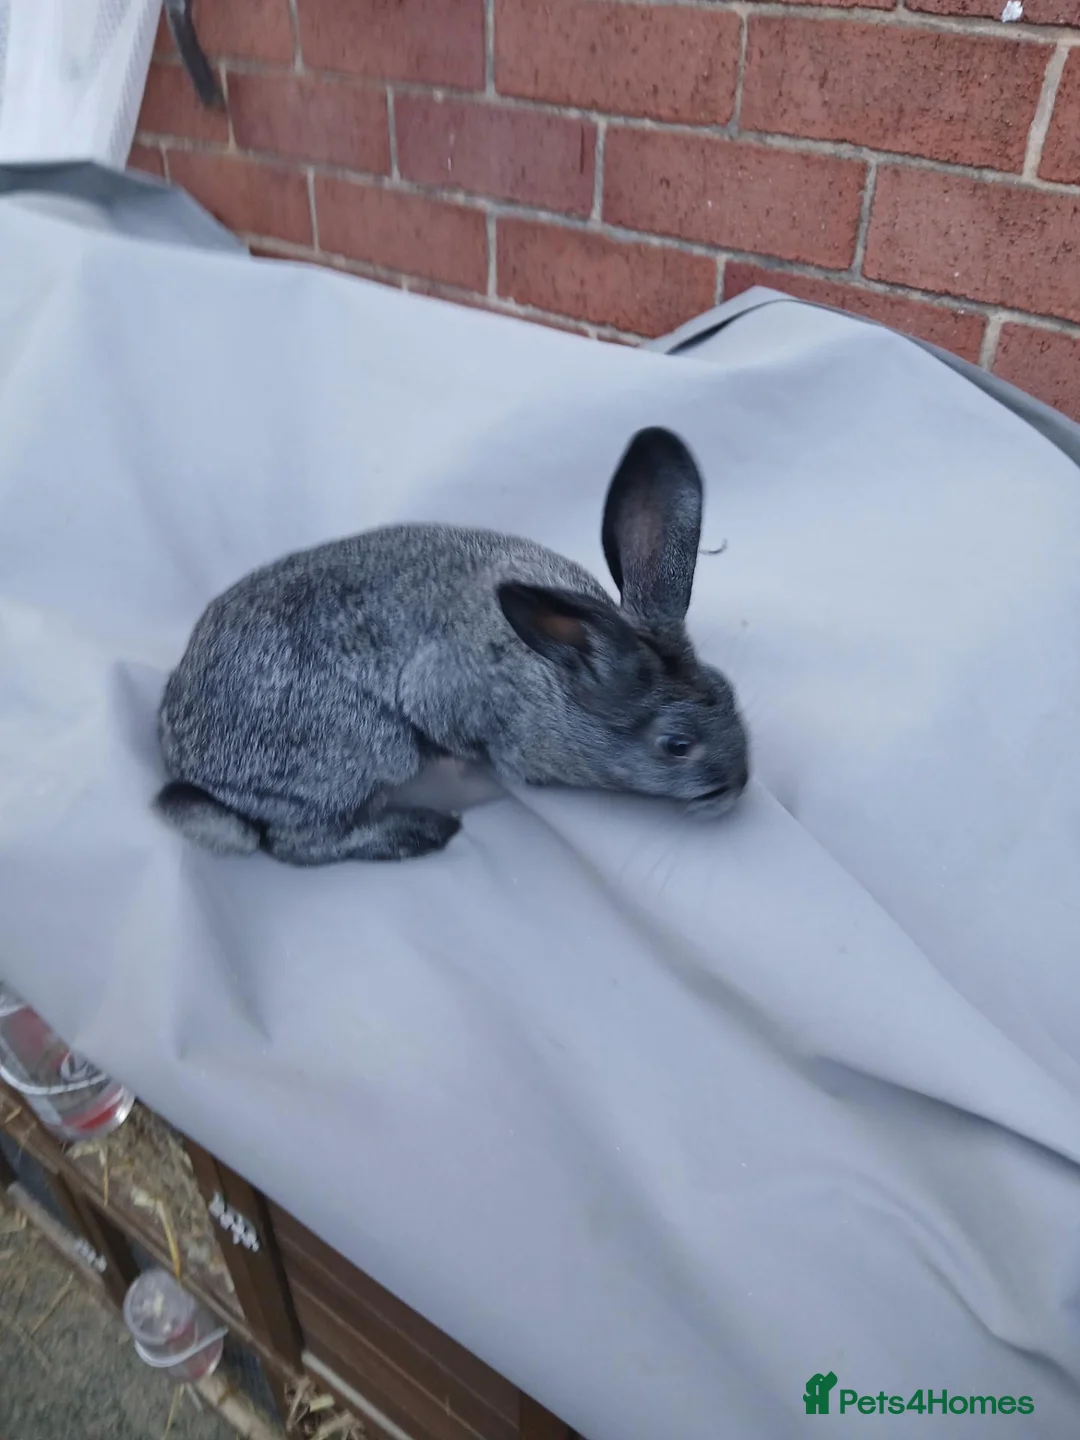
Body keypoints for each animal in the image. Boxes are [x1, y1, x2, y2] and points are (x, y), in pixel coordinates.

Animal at [154, 426, 750, 864]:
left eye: (728, 693)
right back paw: (418, 833)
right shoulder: (440, 694)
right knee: (291, 843)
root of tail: (185, 764)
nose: (738, 783)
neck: (560, 679)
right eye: (676, 745)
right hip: (364, 751)